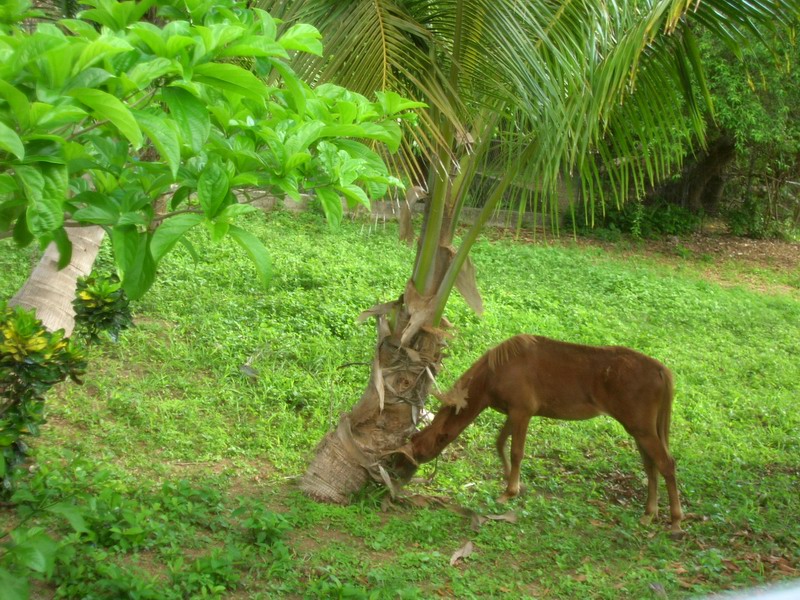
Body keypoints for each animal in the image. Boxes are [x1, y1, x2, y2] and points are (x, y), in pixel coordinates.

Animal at [410, 332, 684, 536]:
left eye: (441, 437)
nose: (414, 456)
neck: (497, 371)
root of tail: (661, 370)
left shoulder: (522, 412)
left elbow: (516, 451)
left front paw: (509, 492)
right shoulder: (513, 413)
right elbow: (500, 443)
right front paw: (514, 483)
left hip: (642, 430)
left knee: (666, 464)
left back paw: (675, 521)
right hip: (640, 431)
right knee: (651, 467)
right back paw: (649, 514)